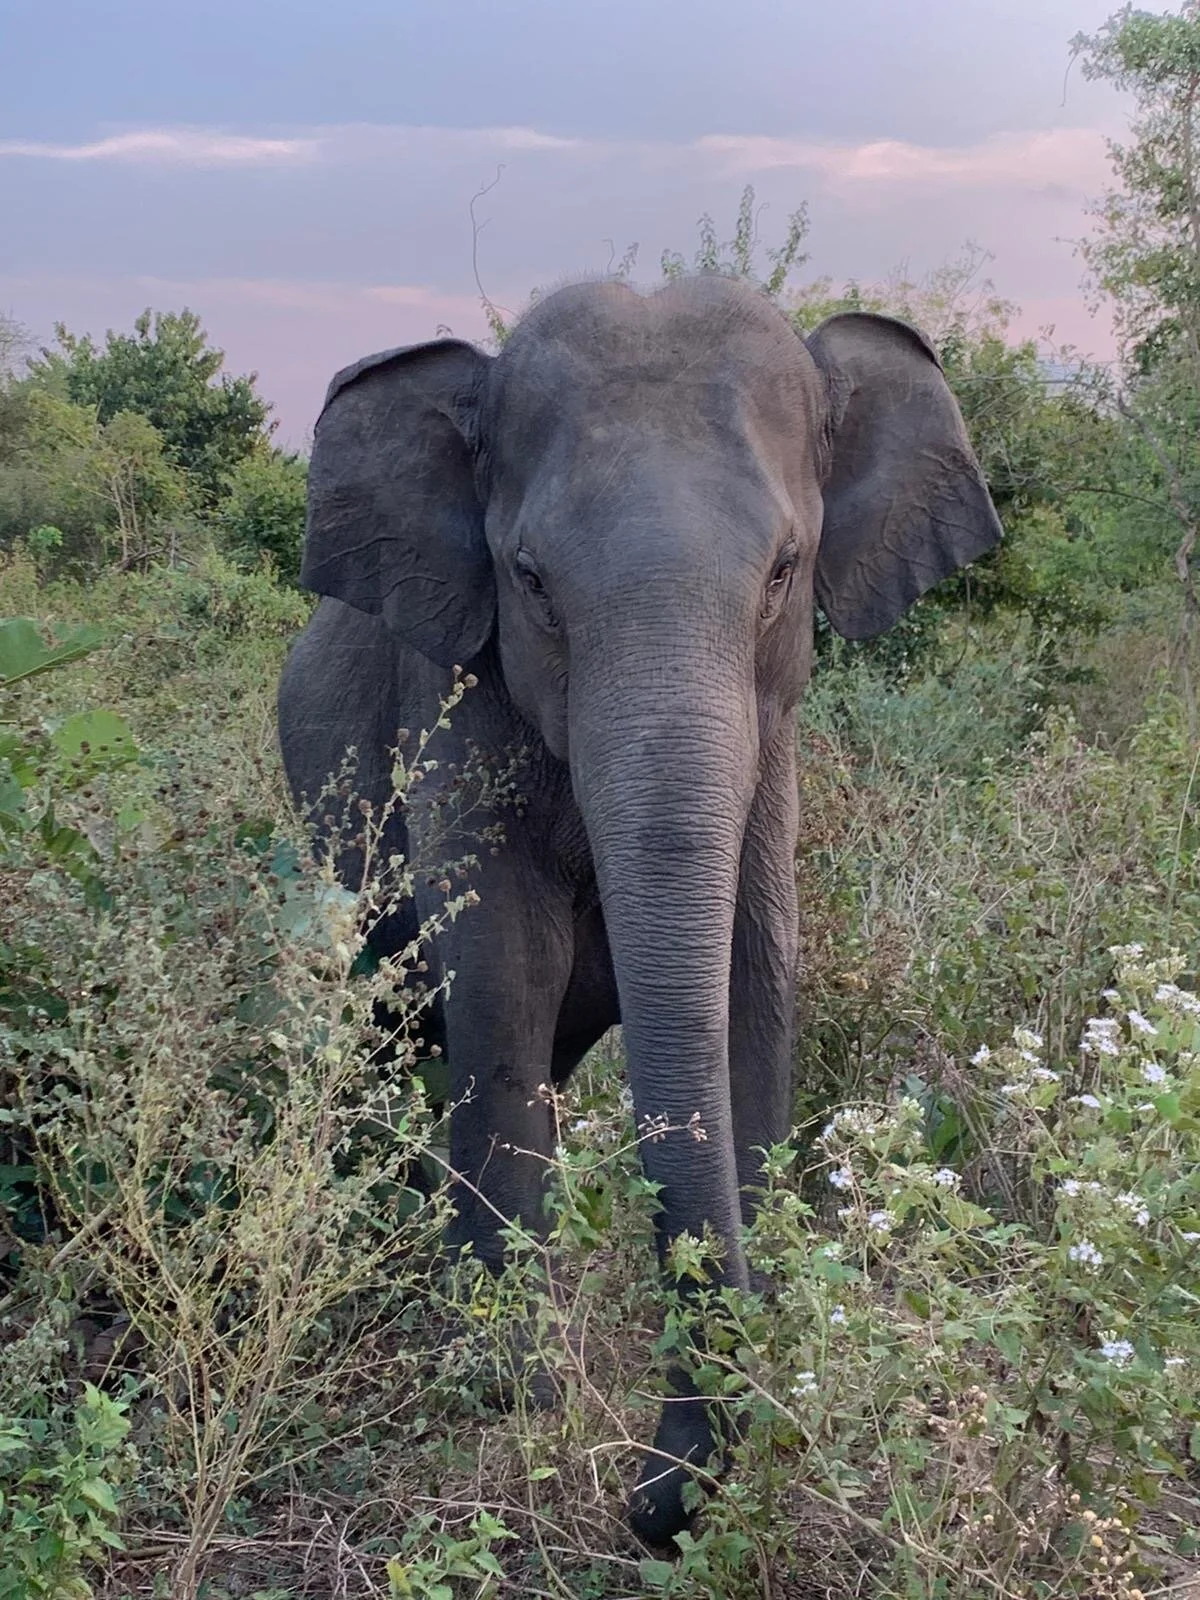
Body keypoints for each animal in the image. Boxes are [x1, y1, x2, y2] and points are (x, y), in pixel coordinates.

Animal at [276, 273, 1003, 1543]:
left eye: (785, 571)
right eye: (528, 579)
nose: (649, 1502)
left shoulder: (774, 754)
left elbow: (756, 982)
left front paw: (782, 1356)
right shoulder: (452, 694)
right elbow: (504, 978)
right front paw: (507, 1387)